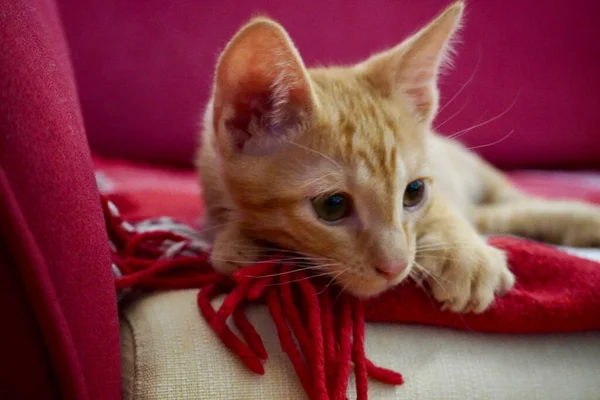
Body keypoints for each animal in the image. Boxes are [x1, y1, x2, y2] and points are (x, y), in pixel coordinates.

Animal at [196, 1, 600, 314]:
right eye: (332, 206)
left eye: (414, 192)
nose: (396, 267)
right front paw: (238, 241)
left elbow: (446, 209)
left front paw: (465, 256)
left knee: (514, 204)